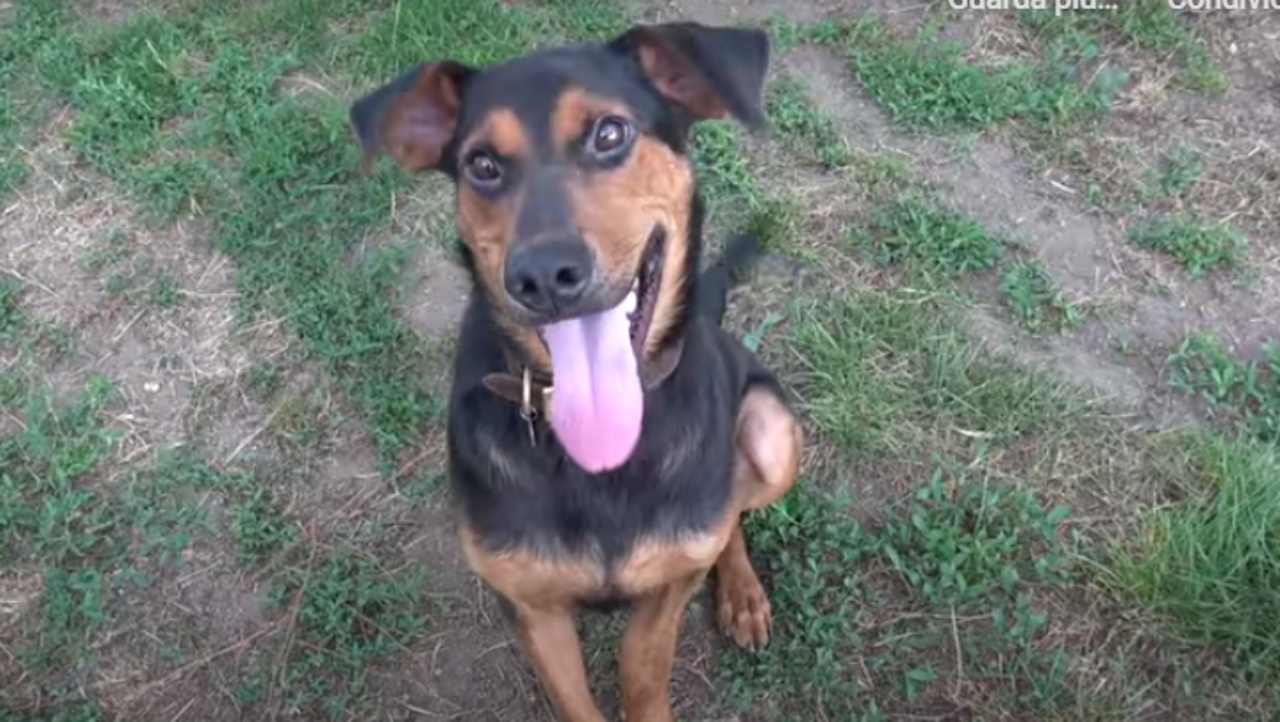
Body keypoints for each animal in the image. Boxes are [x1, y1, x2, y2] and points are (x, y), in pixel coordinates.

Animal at [348, 22, 798, 722]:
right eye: (482, 165)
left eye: (609, 134)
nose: (542, 277)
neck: (598, 463)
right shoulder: (532, 605)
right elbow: (574, 697)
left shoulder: (666, 589)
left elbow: (643, 665)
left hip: (774, 435)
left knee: (732, 516)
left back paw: (743, 592)